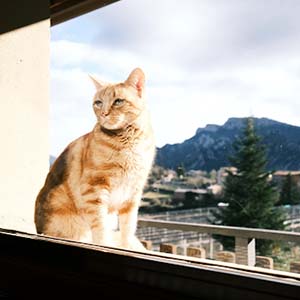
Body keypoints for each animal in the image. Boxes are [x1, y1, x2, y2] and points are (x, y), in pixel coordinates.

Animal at [34, 68, 156, 251]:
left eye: (118, 101)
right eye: (98, 102)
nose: (104, 113)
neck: (129, 142)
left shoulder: (133, 193)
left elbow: (128, 227)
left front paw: (126, 247)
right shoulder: (94, 189)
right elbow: (100, 226)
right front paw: (104, 245)